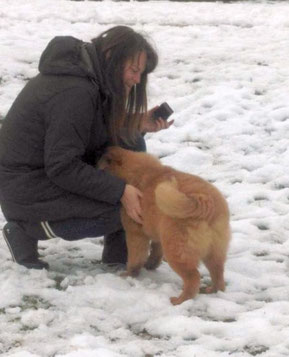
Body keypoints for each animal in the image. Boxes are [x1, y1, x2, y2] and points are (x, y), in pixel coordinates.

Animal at [99, 146, 230, 304]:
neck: (135, 172)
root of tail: (205, 202)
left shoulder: (135, 234)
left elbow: (135, 258)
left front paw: (129, 274)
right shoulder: (157, 231)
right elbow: (155, 251)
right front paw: (150, 265)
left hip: (176, 250)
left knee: (193, 277)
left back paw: (179, 300)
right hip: (214, 250)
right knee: (218, 273)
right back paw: (213, 290)